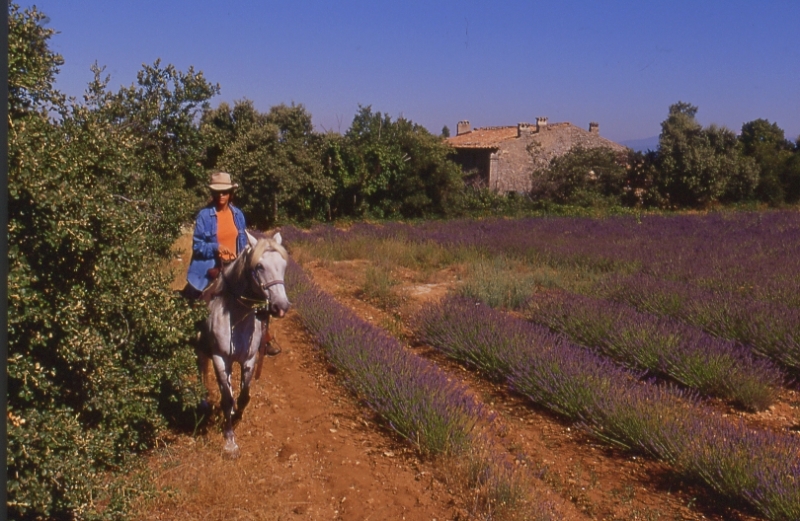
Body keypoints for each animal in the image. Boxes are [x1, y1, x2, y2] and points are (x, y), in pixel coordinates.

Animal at [198, 232, 290, 456]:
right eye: (260, 266)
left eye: (284, 265)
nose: (281, 307)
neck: (236, 317)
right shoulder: (220, 359)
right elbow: (226, 398)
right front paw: (230, 441)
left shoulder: (249, 359)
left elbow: (243, 396)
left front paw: (236, 416)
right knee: (202, 370)